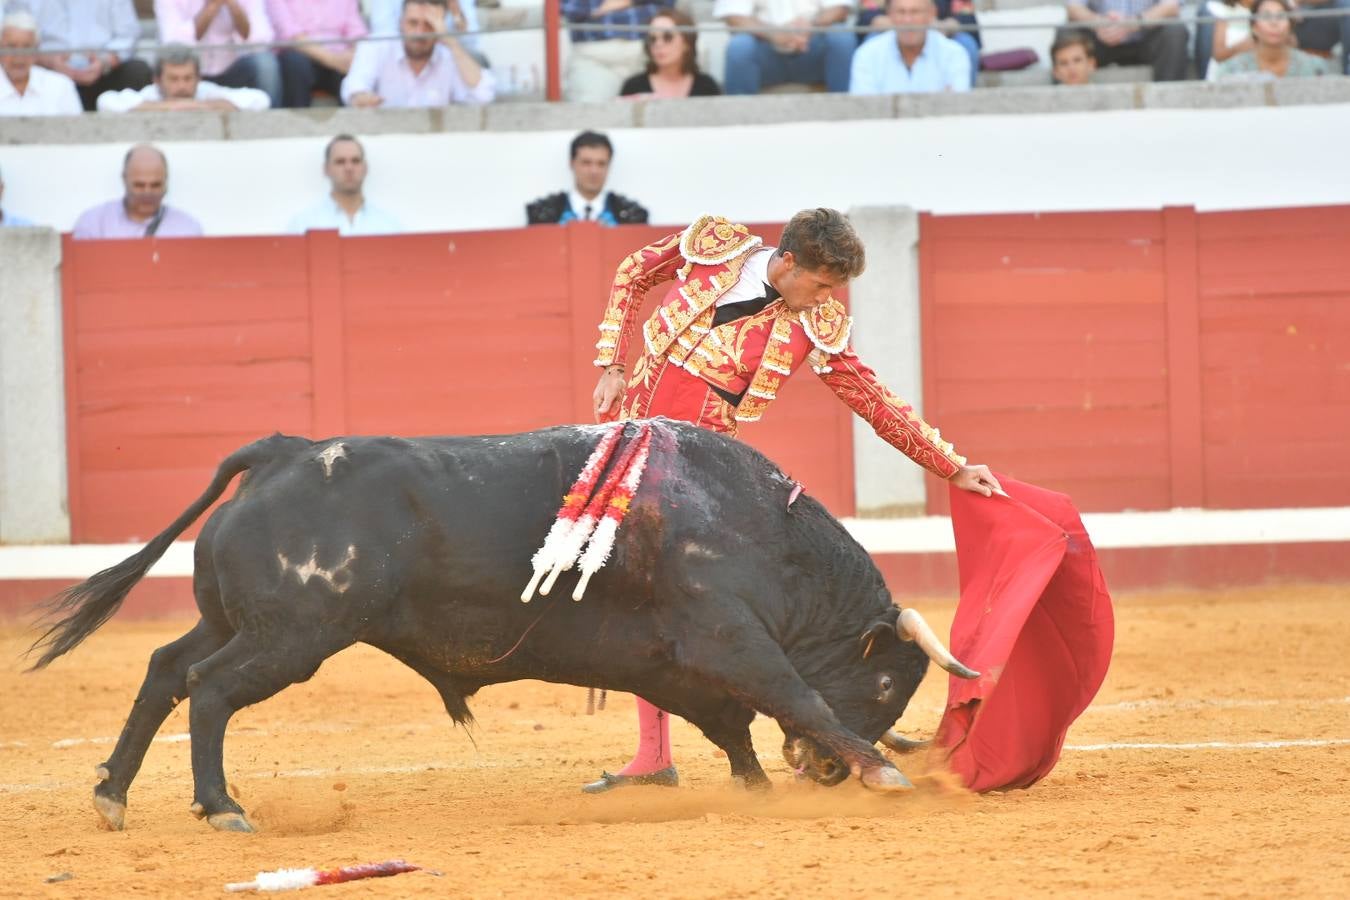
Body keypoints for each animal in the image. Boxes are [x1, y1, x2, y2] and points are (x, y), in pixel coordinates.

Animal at [26, 418, 966, 836]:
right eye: (887, 679)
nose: (826, 775)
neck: (759, 523)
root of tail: (283, 451)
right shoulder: (727, 638)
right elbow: (796, 695)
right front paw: (882, 770)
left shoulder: (674, 662)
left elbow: (730, 721)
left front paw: (757, 785)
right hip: (292, 637)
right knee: (209, 688)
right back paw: (220, 806)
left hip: (234, 619)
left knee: (164, 668)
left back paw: (112, 794)